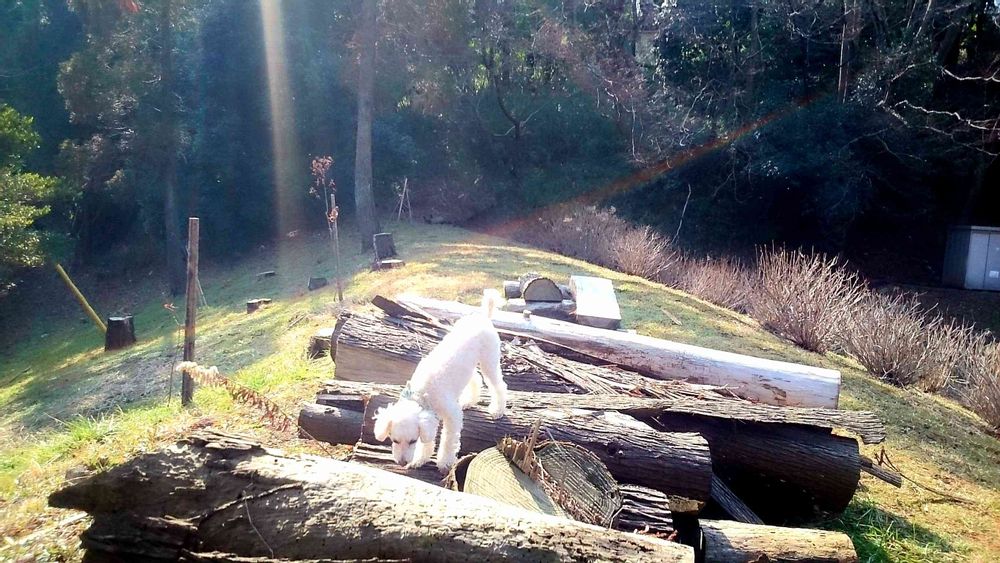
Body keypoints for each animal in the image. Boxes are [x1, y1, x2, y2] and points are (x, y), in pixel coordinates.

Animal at [373, 289, 507, 473]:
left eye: (412, 441)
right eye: (394, 440)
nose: (401, 463)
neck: (421, 393)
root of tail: (483, 317)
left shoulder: (452, 416)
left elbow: (448, 441)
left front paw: (444, 462)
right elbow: (428, 440)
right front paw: (420, 459)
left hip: (489, 361)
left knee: (498, 385)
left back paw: (497, 409)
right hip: (468, 366)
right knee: (476, 378)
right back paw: (469, 400)